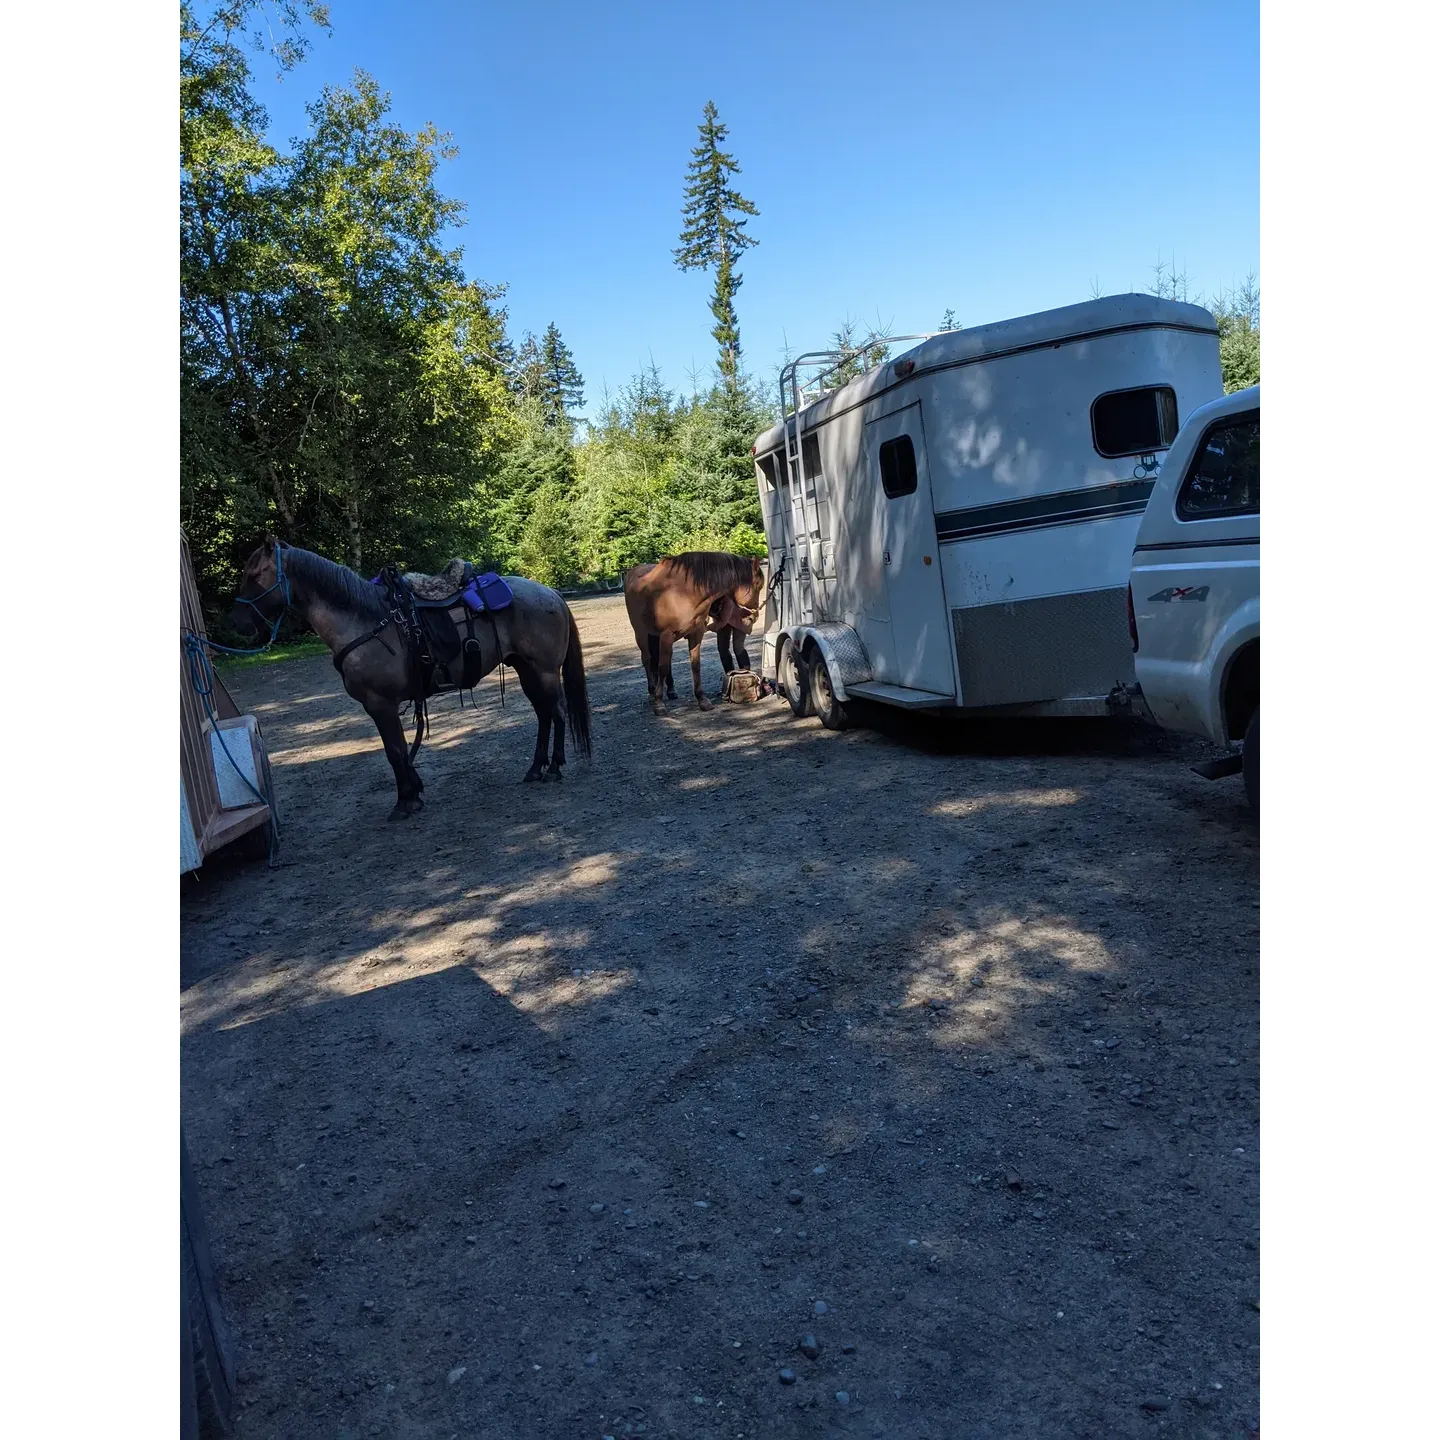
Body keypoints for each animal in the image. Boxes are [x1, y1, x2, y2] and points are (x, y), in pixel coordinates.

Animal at [233, 538, 593, 817]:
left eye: (254, 573)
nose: (238, 622)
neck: (364, 620)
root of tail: (551, 593)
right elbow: (400, 749)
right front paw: (413, 792)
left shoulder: (379, 704)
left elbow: (394, 750)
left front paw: (405, 802)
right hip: (526, 669)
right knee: (544, 714)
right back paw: (535, 768)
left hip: (544, 671)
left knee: (557, 712)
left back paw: (554, 768)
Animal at [624, 547, 771, 711]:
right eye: (758, 585)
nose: (754, 616)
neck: (683, 593)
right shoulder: (667, 635)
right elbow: (662, 667)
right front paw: (659, 703)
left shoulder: (695, 634)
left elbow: (695, 666)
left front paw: (702, 699)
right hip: (641, 633)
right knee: (648, 660)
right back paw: (651, 692)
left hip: (655, 636)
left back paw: (670, 691)